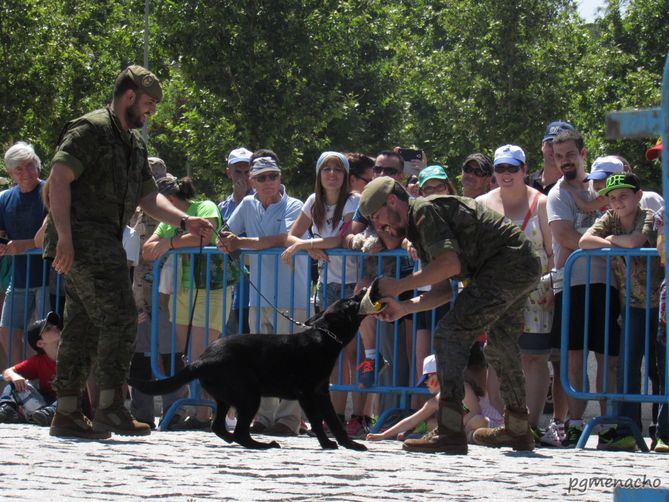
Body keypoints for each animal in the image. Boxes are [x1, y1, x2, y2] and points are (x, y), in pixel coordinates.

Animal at [129, 284, 380, 450]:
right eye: (350, 303)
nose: (363, 289)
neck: (324, 337)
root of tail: (202, 360)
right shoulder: (308, 394)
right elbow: (319, 421)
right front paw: (328, 443)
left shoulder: (321, 393)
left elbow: (334, 421)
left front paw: (349, 444)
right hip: (248, 396)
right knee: (239, 432)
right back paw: (263, 444)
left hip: (228, 398)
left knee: (219, 427)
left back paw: (241, 441)